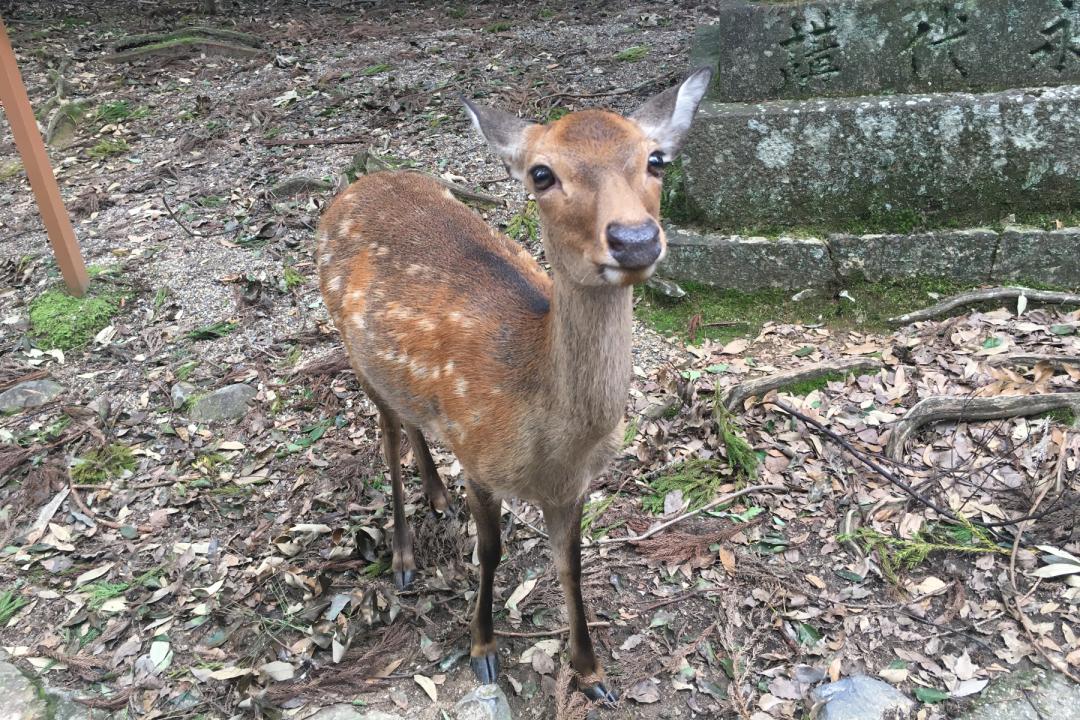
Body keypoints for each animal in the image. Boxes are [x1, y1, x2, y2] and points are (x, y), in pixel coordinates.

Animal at [315, 69, 712, 703]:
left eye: (657, 160)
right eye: (542, 173)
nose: (634, 238)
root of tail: (351, 188)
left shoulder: (572, 487)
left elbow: (570, 564)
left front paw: (591, 672)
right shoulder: (480, 457)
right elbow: (491, 551)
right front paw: (483, 649)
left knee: (413, 421)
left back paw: (437, 495)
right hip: (353, 352)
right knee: (388, 433)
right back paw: (402, 556)